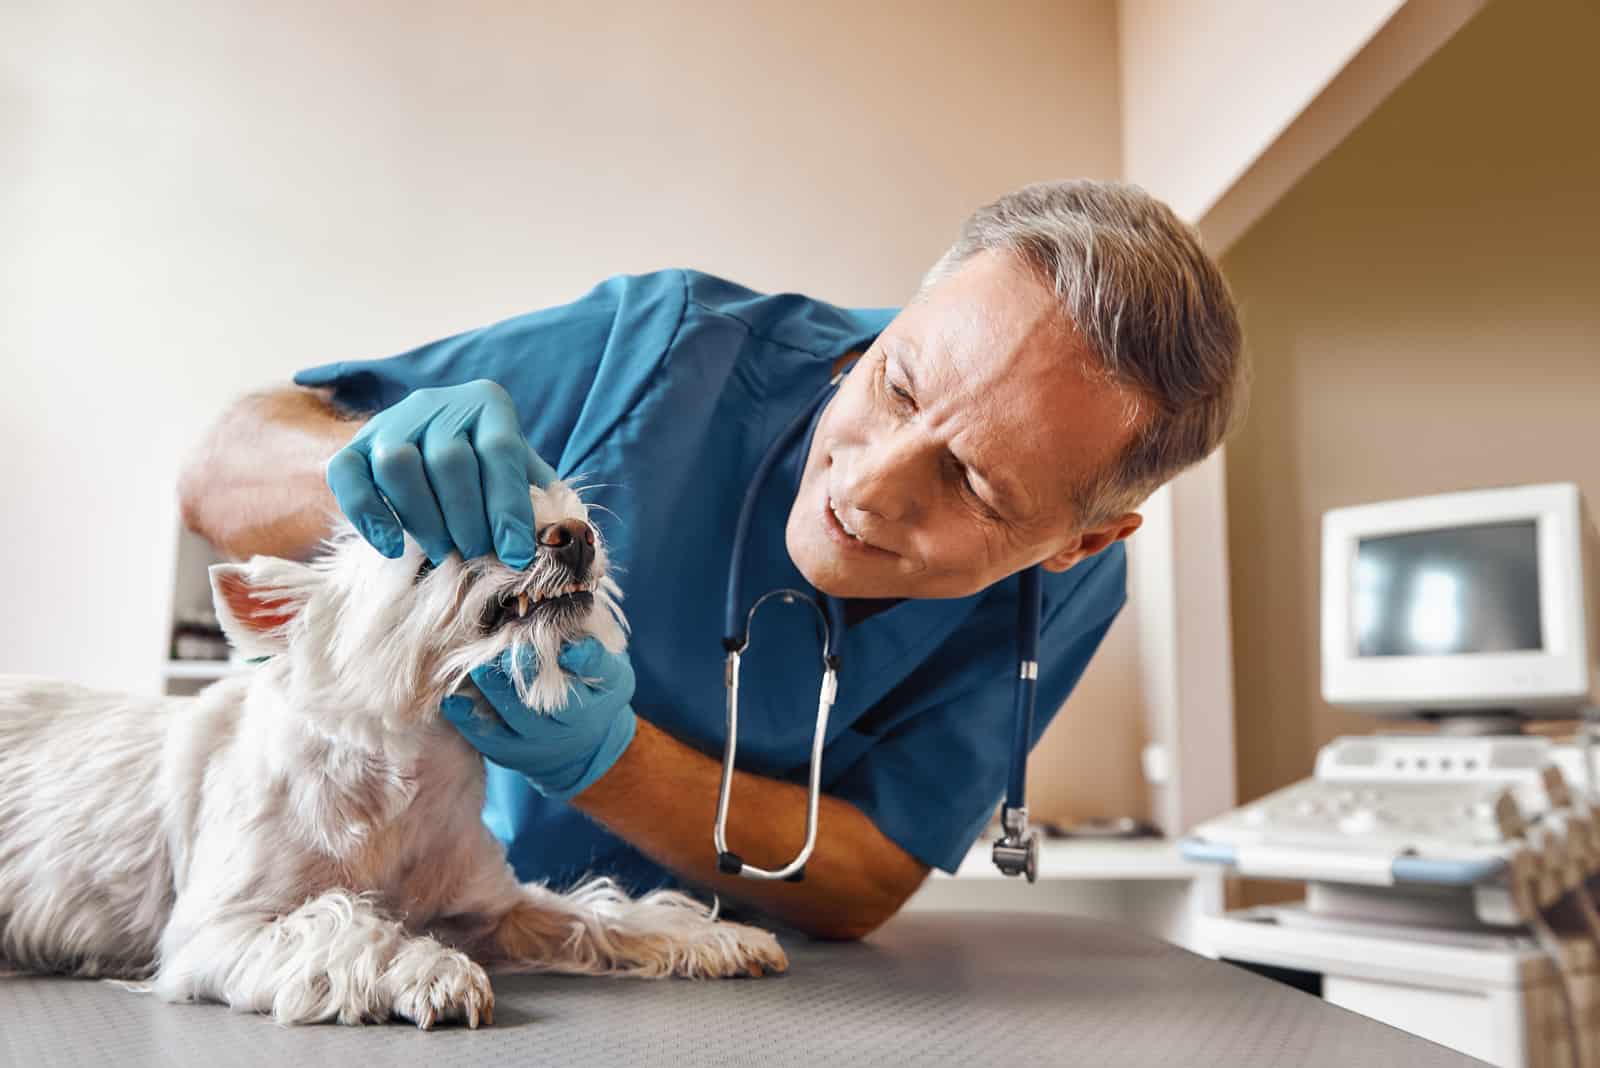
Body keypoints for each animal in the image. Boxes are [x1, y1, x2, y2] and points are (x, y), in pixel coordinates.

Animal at [0, 476, 787, 1023]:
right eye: (431, 556)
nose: (573, 532)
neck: (413, 781)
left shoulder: (490, 907)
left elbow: (594, 913)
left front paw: (716, 938)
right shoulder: (219, 931)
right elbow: (345, 926)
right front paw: (433, 972)